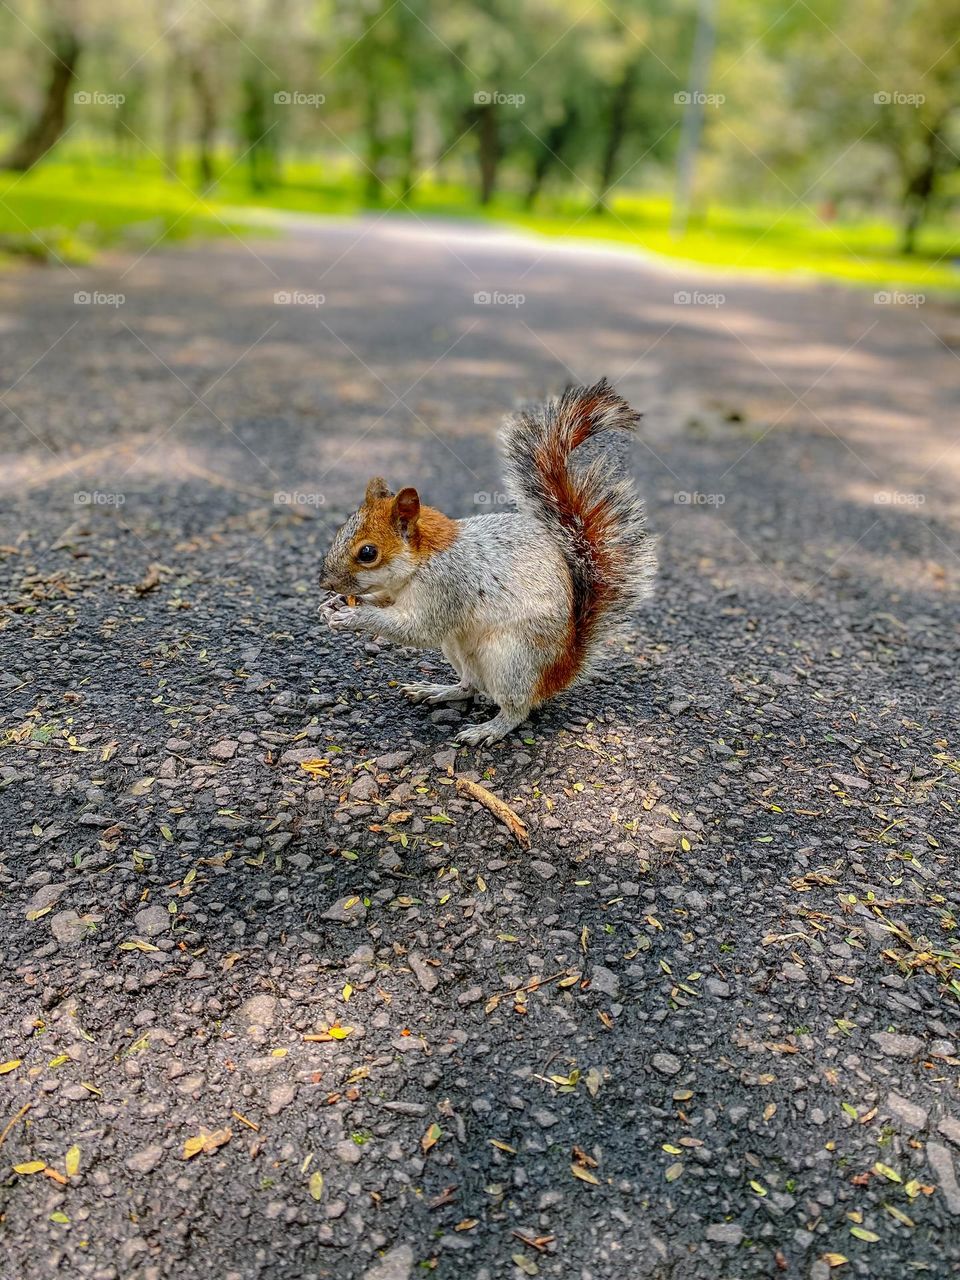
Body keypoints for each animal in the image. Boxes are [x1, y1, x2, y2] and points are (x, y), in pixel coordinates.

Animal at [320, 378, 656, 746]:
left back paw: (488, 729)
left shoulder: (448, 585)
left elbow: (418, 628)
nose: (325, 581)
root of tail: (562, 668)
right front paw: (333, 604)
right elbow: (383, 599)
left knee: (517, 708)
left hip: (510, 658)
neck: (421, 562)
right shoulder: (397, 590)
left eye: (368, 553)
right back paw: (438, 691)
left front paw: (355, 616)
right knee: (470, 685)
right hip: (458, 649)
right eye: (342, 528)